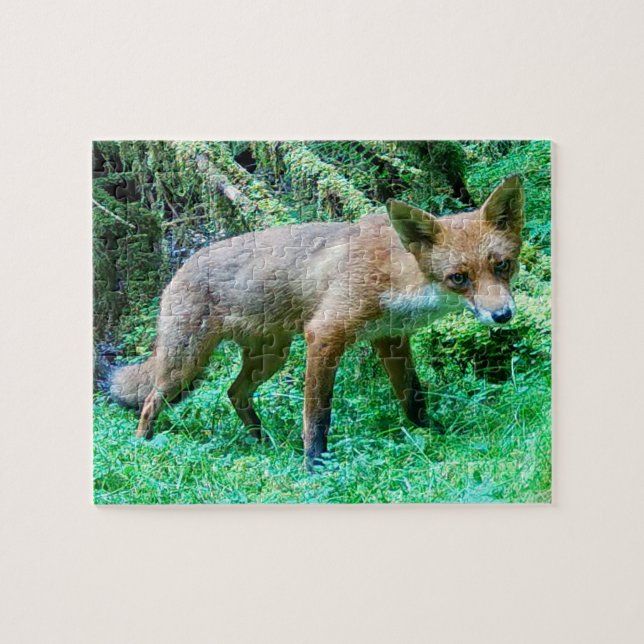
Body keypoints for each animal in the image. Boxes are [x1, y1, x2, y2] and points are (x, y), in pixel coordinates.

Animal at [109, 175, 524, 470]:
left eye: (502, 265)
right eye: (459, 277)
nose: (502, 315)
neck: (395, 274)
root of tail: (179, 269)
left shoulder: (390, 338)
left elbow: (413, 397)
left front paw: (432, 433)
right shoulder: (324, 335)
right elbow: (317, 415)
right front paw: (314, 466)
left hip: (269, 358)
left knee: (234, 392)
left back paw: (261, 440)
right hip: (187, 365)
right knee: (151, 400)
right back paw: (142, 445)